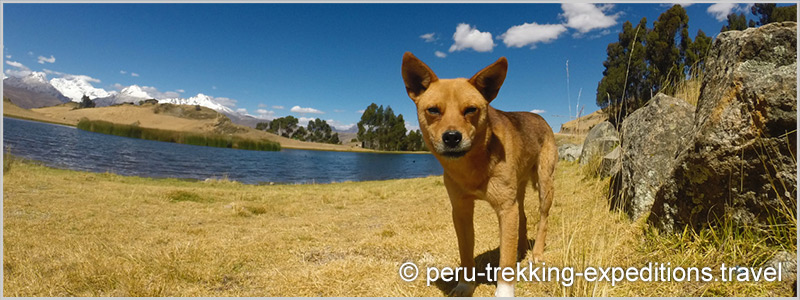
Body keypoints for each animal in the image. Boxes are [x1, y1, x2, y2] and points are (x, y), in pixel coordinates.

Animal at [400, 52, 556, 296]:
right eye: (433, 110)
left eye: (471, 109)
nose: (452, 137)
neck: (472, 165)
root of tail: (541, 118)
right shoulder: (461, 210)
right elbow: (466, 253)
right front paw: (465, 286)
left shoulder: (505, 209)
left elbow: (505, 261)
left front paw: (504, 292)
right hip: (518, 192)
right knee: (522, 218)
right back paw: (521, 249)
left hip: (545, 185)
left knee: (543, 219)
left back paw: (537, 252)